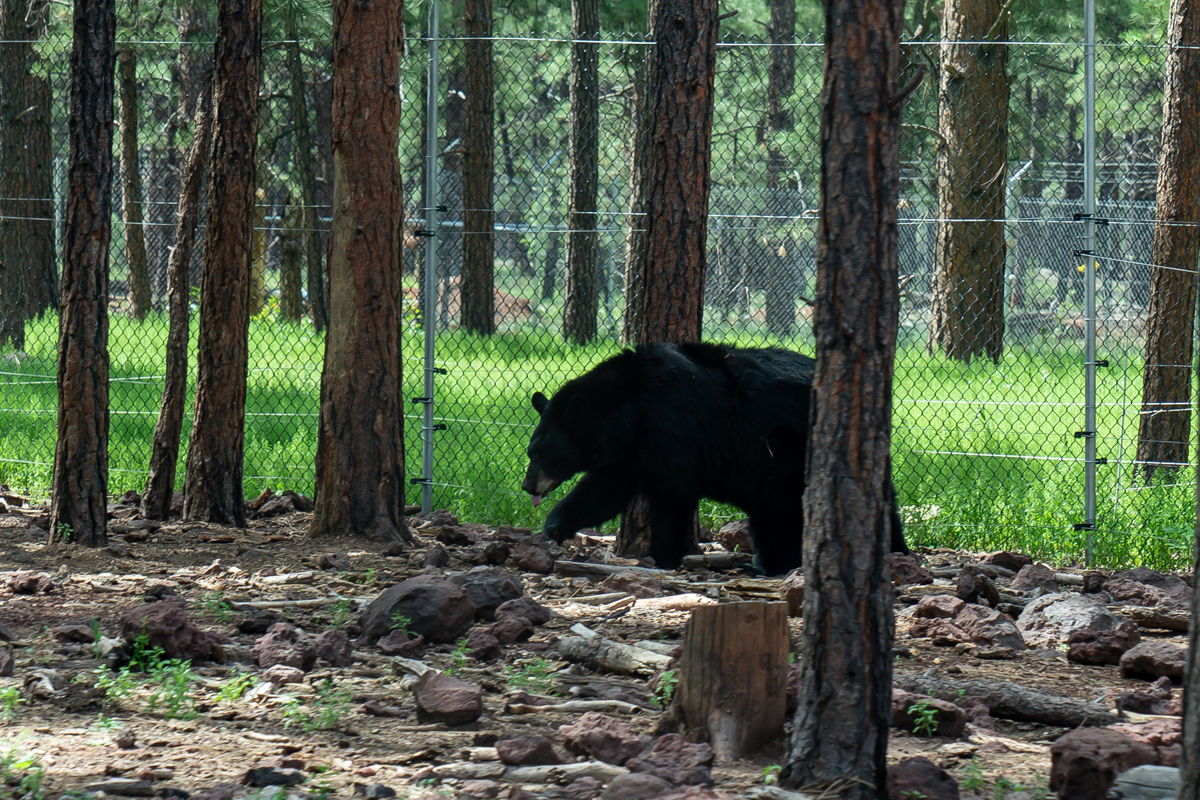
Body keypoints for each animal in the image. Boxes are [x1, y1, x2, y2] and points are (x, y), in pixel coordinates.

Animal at [520, 341, 909, 575]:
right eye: (531, 451)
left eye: (543, 453)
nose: (527, 486)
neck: (630, 411)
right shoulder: (630, 453)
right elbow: (601, 491)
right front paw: (553, 528)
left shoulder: (673, 433)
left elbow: (671, 497)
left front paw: (665, 556)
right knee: (773, 516)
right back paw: (770, 564)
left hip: (789, 453)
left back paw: (894, 552)